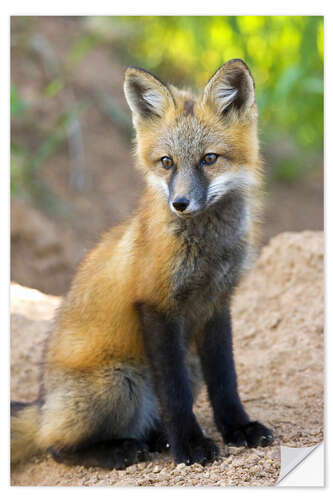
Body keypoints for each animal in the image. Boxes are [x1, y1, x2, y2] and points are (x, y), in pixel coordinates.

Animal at [11, 58, 274, 468]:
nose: (180, 203)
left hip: (184, 363)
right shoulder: (157, 305)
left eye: (209, 159)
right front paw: (190, 446)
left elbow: (226, 380)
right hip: (120, 381)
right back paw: (120, 448)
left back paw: (156, 438)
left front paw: (238, 428)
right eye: (167, 163)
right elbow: (175, 394)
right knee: (55, 446)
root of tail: (42, 405)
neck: (208, 252)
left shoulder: (218, 304)